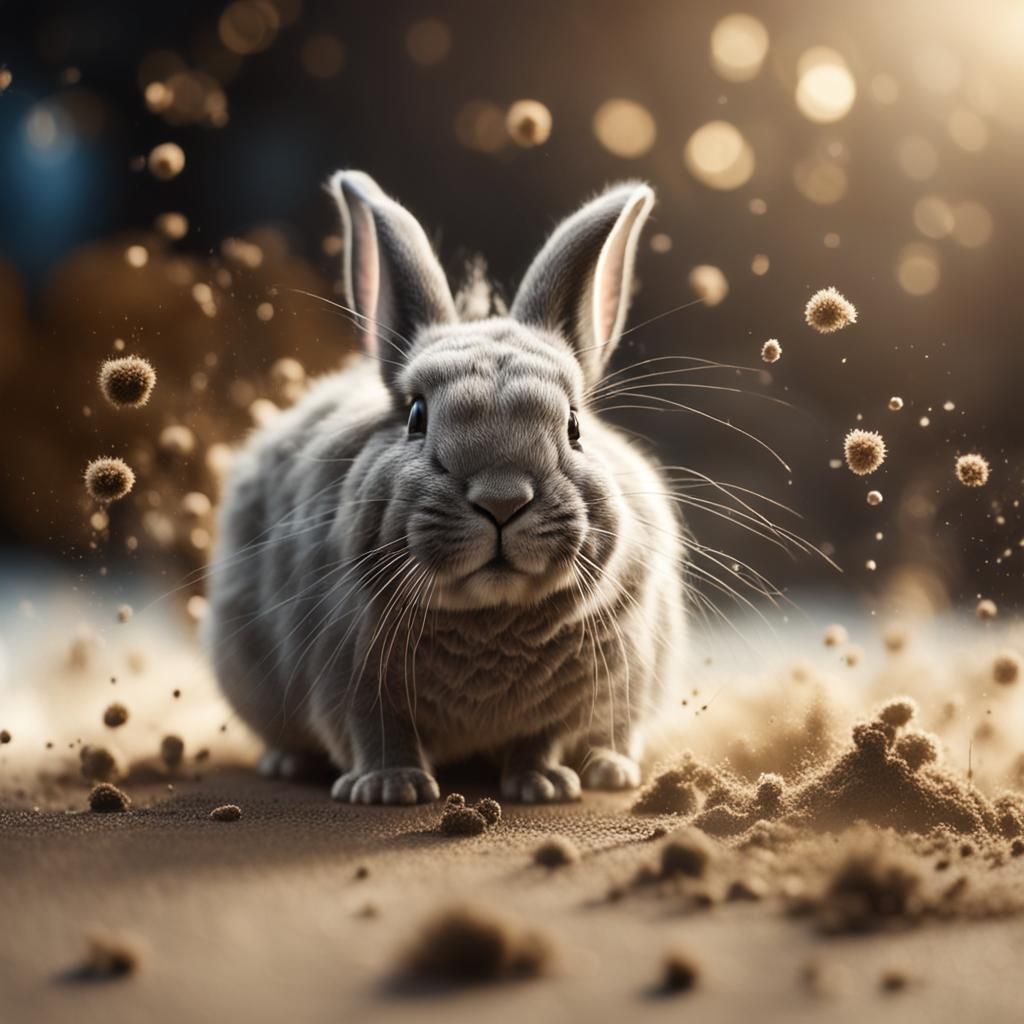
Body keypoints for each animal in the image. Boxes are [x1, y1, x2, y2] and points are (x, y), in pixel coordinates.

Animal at [205, 171, 687, 805]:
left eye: (574, 425)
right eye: (416, 416)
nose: (502, 501)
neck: (488, 616)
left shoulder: (566, 703)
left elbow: (541, 739)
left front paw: (543, 787)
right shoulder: (348, 682)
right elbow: (377, 734)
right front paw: (392, 789)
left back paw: (609, 770)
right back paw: (287, 764)